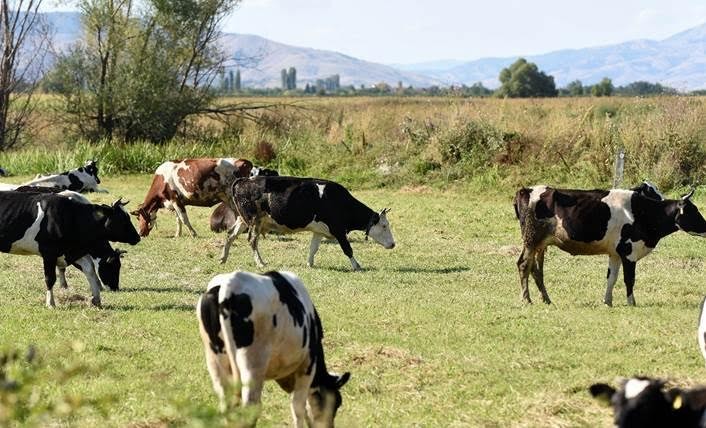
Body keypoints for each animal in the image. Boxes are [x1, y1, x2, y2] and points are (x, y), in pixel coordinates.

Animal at [0, 191, 140, 308]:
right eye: (123, 219)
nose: (138, 237)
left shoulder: (71, 252)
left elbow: (90, 270)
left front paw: (96, 299)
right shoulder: (49, 252)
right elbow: (50, 278)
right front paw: (51, 303)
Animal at [195, 270, 350, 426]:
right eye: (336, 403)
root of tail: (228, 284)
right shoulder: (308, 365)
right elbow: (298, 407)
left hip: (215, 362)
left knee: (226, 407)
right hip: (253, 366)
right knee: (250, 406)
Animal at [223, 175, 394, 270]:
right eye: (384, 226)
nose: (393, 244)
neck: (339, 202)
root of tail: (244, 180)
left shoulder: (319, 231)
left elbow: (313, 248)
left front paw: (310, 264)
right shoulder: (338, 229)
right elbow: (348, 249)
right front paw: (357, 266)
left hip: (243, 220)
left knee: (230, 235)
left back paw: (223, 258)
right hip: (254, 221)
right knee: (252, 240)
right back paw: (260, 263)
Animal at [512, 186, 704, 306]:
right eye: (694, 211)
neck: (643, 213)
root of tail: (525, 190)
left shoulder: (615, 253)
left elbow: (611, 278)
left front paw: (608, 301)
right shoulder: (629, 252)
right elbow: (629, 279)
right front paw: (631, 303)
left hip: (539, 244)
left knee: (535, 270)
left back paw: (546, 299)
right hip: (531, 240)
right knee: (523, 265)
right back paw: (526, 299)